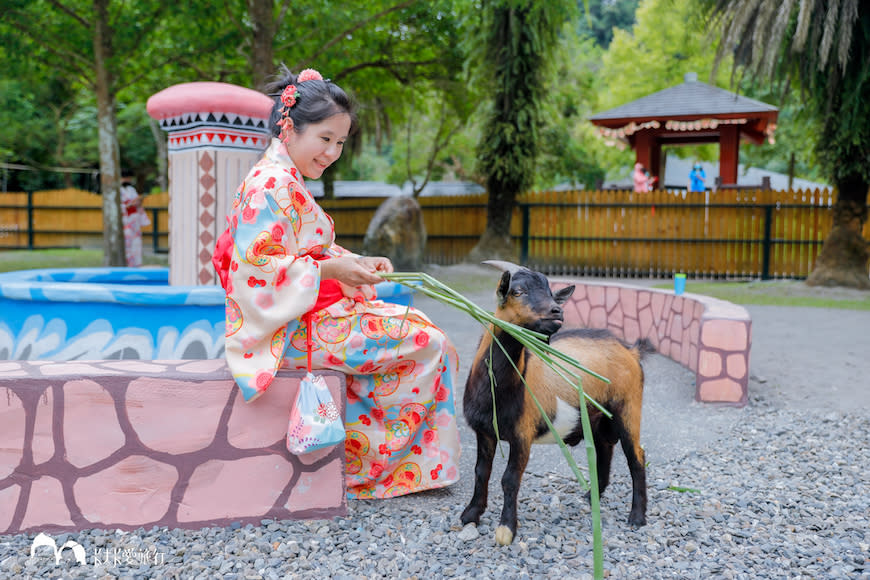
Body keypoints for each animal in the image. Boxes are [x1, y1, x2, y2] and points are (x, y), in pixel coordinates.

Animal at [464, 260, 648, 548]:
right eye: (517, 291)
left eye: (551, 292)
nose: (557, 311)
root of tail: (631, 350)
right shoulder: (484, 432)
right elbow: (481, 471)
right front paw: (470, 514)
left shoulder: (522, 434)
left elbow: (509, 479)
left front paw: (506, 529)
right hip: (597, 418)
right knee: (604, 450)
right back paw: (590, 497)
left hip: (628, 407)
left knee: (636, 456)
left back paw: (637, 518)